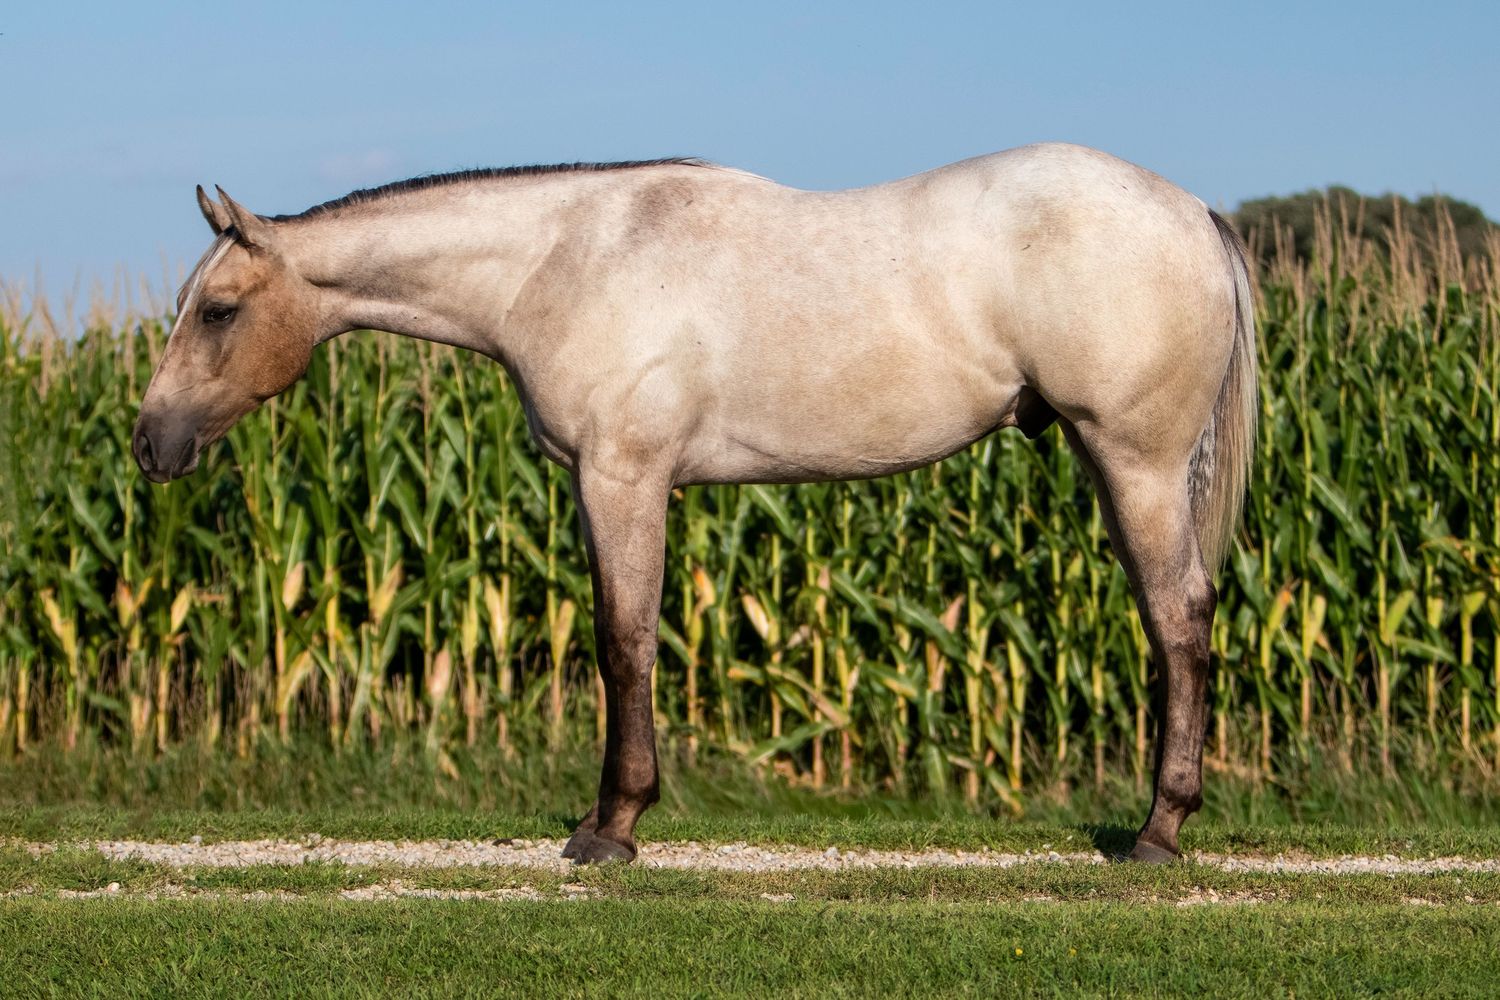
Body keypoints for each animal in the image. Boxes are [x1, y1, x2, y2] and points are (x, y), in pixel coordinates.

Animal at [133, 143, 1255, 864]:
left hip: (1136, 462)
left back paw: (1159, 833)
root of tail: (1192, 211)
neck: (565, 259)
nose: (151, 442)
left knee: (1181, 621)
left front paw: (612, 828)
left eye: (219, 310)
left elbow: (622, 639)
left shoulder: (622, 476)